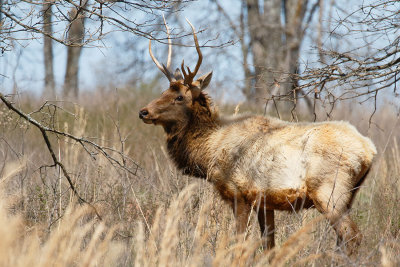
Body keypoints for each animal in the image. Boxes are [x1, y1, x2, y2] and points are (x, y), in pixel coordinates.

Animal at [139, 19, 376, 254]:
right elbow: (269, 245)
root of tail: (369, 150)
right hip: (348, 195)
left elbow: (238, 242)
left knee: (352, 236)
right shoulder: (264, 201)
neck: (209, 153)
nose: (143, 111)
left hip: (329, 192)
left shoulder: (239, 194)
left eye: (179, 97)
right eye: (163, 92)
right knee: (343, 239)